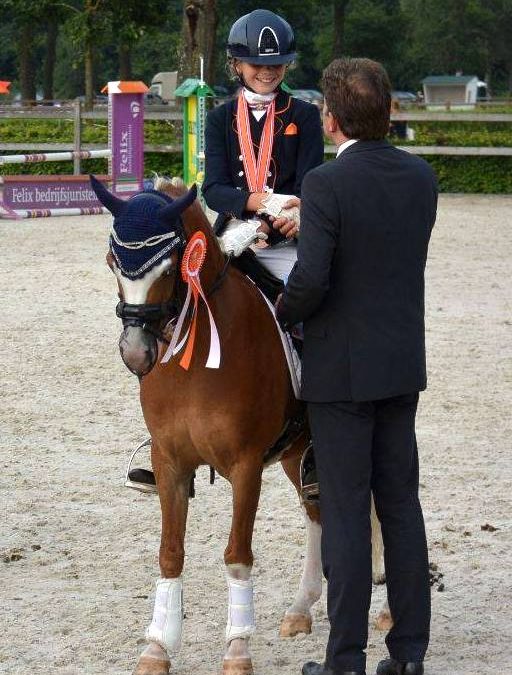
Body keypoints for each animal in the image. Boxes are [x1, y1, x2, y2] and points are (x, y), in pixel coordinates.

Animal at [90, 176, 390, 675]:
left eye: (169, 268)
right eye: (114, 263)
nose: (135, 353)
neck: (198, 355)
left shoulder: (246, 467)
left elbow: (236, 556)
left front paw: (237, 651)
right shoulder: (170, 463)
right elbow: (170, 553)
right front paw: (156, 649)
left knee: (375, 507)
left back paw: (385, 607)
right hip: (297, 452)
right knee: (315, 512)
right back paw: (300, 609)